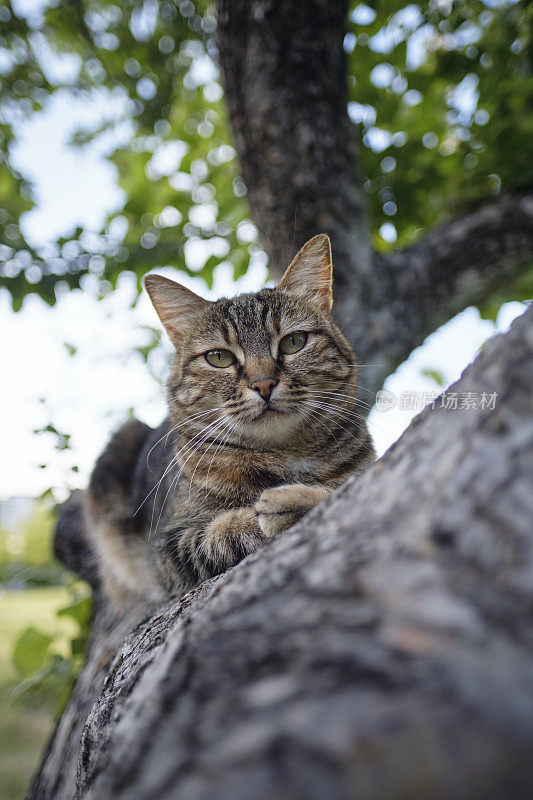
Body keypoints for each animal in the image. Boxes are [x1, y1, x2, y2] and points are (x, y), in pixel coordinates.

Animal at [84, 234, 374, 604]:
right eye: (219, 357)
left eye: (294, 342)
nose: (264, 384)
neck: (284, 456)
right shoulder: (168, 548)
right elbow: (222, 535)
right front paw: (279, 506)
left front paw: (295, 499)